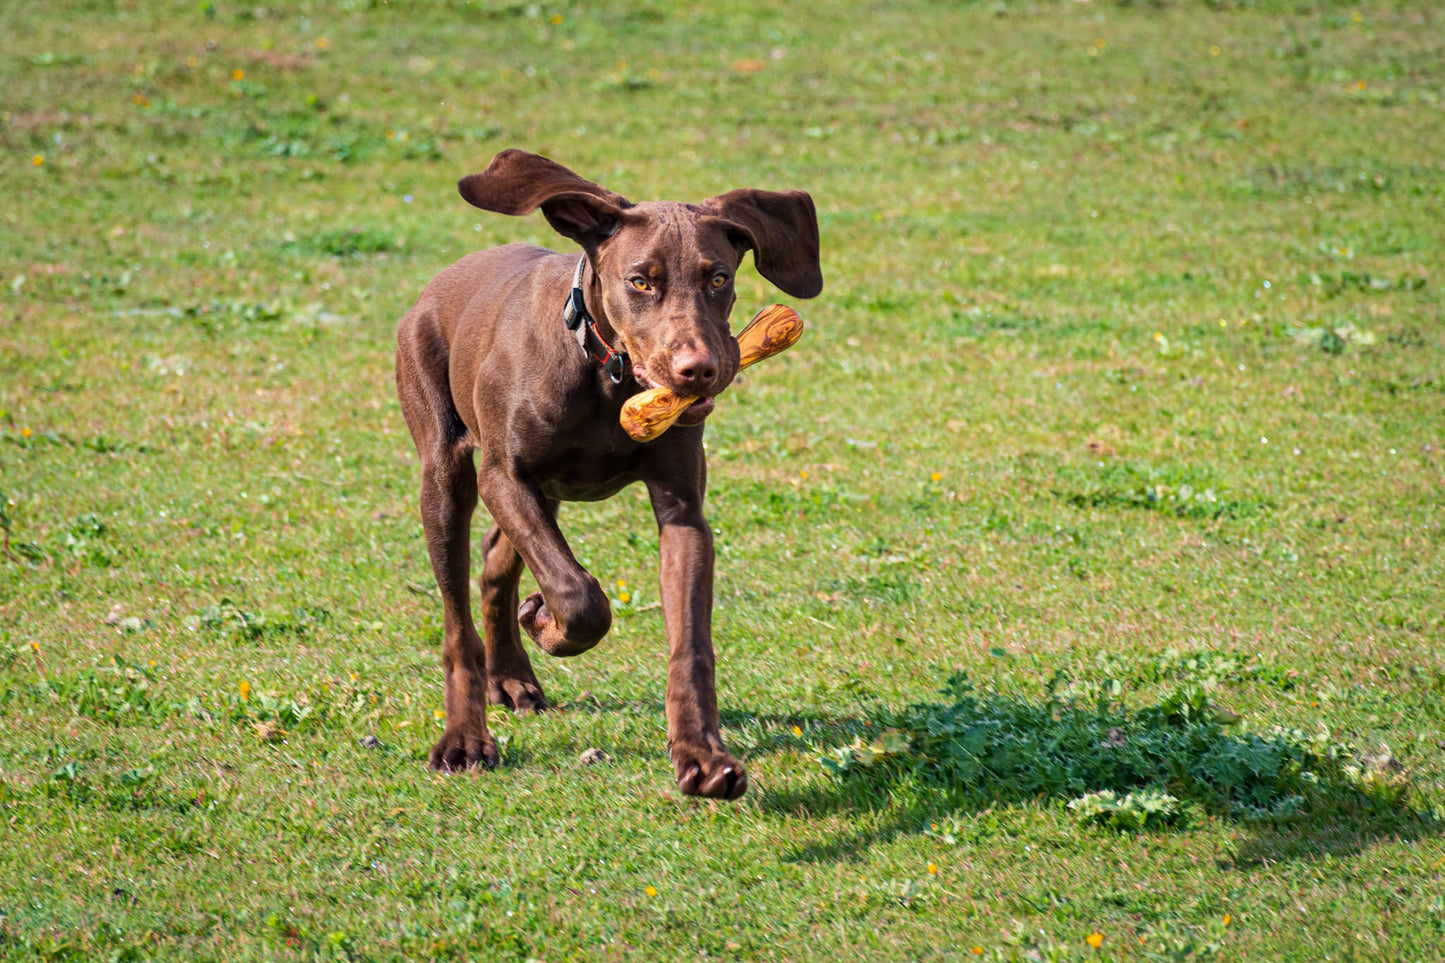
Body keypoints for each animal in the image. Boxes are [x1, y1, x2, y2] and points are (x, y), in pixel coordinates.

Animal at [395, 148, 826, 792]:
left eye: (718, 278)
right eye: (640, 281)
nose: (699, 369)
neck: (606, 373)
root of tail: (441, 281)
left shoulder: (682, 512)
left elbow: (689, 643)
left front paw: (701, 755)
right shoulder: (506, 476)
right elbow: (578, 595)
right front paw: (551, 626)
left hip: (542, 492)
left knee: (497, 563)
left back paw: (511, 674)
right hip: (447, 470)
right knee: (457, 616)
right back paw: (466, 736)